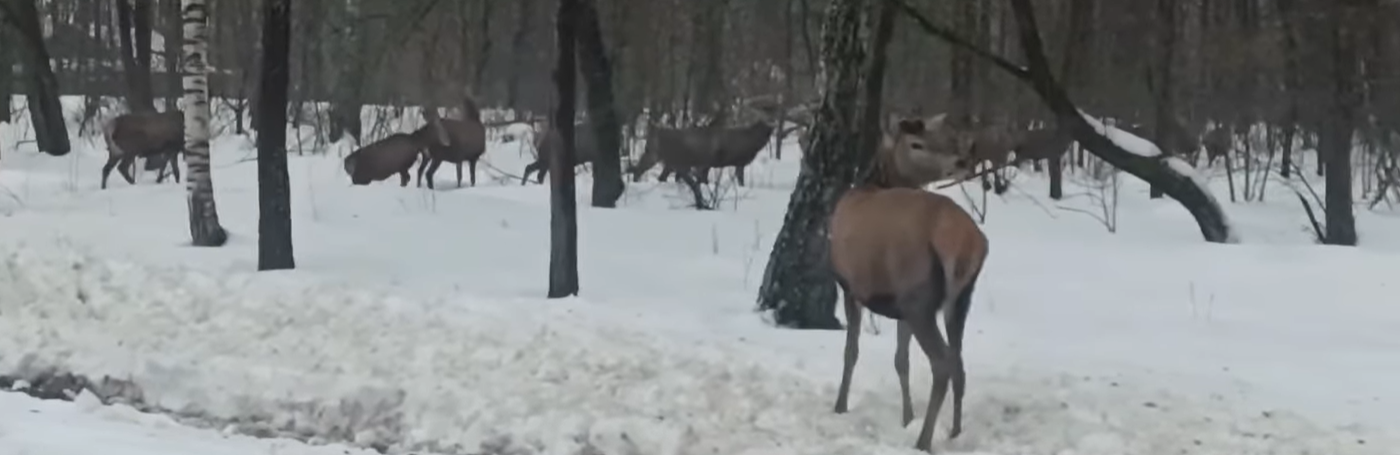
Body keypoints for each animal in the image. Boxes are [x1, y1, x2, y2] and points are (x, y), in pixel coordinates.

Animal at [823, 112, 991, 450]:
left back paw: (923, 441)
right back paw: (954, 432)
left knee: (942, 363)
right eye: (917, 142)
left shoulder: (851, 285)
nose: (963, 159)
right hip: (959, 299)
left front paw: (840, 406)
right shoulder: (896, 302)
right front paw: (906, 417)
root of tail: (968, 242)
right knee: (958, 362)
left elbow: (851, 351)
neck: (873, 183)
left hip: (918, 293)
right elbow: (901, 359)